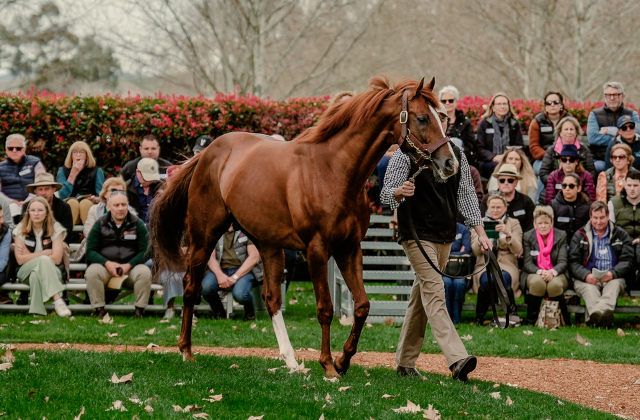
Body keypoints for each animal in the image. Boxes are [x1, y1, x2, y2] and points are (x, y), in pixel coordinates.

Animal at [152, 75, 458, 378]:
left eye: (441, 116)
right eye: (422, 118)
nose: (450, 163)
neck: (333, 170)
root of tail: (207, 154)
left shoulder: (349, 248)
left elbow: (362, 306)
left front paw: (343, 360)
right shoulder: (317, 250)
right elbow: (325, 308)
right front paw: (328, 364)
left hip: (267, 244)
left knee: (272, 298)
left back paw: (290, 361)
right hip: (204, 236)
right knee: (191, 287)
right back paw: (186, 351)